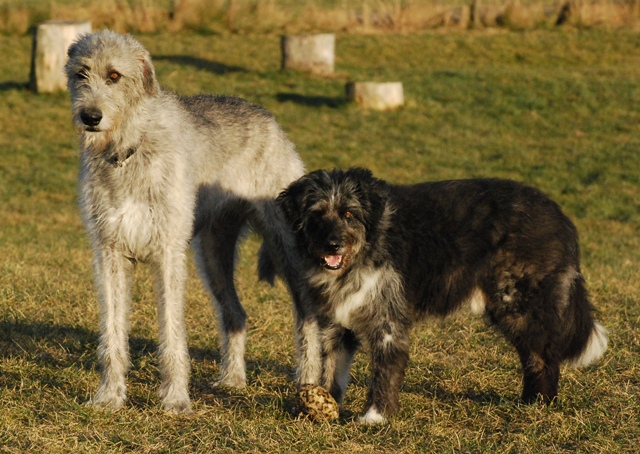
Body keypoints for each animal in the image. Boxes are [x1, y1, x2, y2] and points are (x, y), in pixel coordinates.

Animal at [63, 30, 318, 414]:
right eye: (81, 73)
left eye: (114, 76)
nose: (90, 116)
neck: (129, 149)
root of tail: (268, 118)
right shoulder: (109, 252)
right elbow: (112, 331)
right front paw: (109, 395)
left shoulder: (168, 252)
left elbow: (171, 331)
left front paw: (175, 398)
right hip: (212, 252)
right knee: (235, 313)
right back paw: (232, 379)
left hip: (285, 245)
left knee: (308, 314)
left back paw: (310, 382)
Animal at [278, 168, 608, 426]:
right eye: (316, 215)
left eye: (348, 213)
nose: (332, 245)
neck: (369, 243)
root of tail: (560, 216)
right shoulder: (336, 322)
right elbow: (332, 367)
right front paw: (325, 403)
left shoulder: (388, 321)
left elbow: (384, 370)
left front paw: (376, 416)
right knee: (533, 355)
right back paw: (529, 400)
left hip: (518, 303)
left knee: (544, 355)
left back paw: (541, 403)